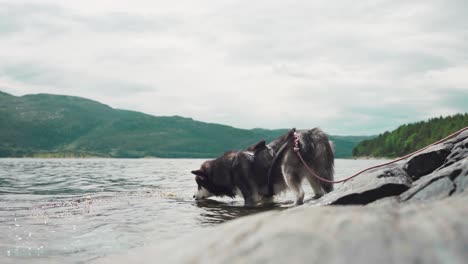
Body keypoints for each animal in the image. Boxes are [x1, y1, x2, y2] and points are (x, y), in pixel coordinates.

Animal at [192, 128, 334, 206]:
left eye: (199, 184)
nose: (193, 197)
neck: (229, 169)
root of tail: (312, 133)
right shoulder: (267, 196)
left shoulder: (250, 197)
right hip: (313, 175)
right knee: (319, 192)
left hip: (287, 170)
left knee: (300, 194)